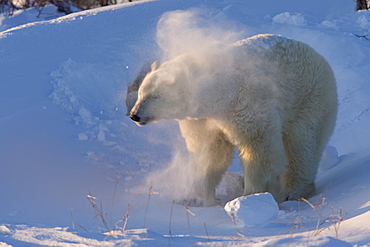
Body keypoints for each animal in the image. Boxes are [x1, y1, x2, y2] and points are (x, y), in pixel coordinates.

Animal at [127, 34, 338, 205]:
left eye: (154, 96)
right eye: (140, 92)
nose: (134, 114)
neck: (219, 91)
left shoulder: (246, 104)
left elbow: (257, 147)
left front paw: (250, 196)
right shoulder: (203, 119)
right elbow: (210, 151)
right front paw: (194, 197)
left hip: (309, 98)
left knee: (302, 144)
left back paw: (294, 192)